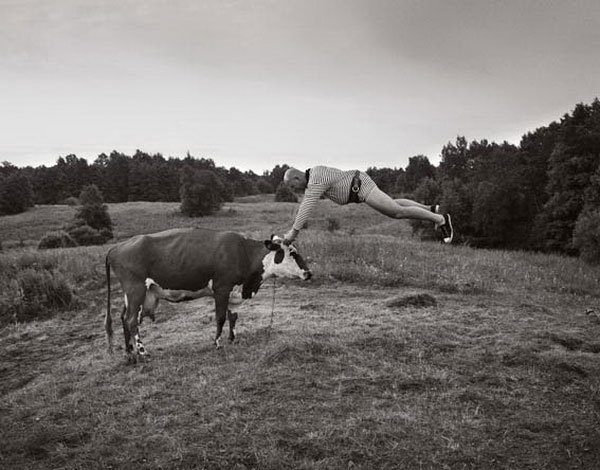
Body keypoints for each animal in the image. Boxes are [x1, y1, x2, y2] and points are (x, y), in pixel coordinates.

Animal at [103, 228, 312, 360]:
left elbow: (233, 316)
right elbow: (220, 317)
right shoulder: (221, 289)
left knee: (123, 318)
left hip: (133, 294)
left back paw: (129, 352)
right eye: (292, 252)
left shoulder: (234, 292)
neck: (243, 253)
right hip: (136, 289)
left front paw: (233, 339)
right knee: (131, 320)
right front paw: (218, 343)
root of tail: (116, 247)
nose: (309, 273)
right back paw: (142, 351)